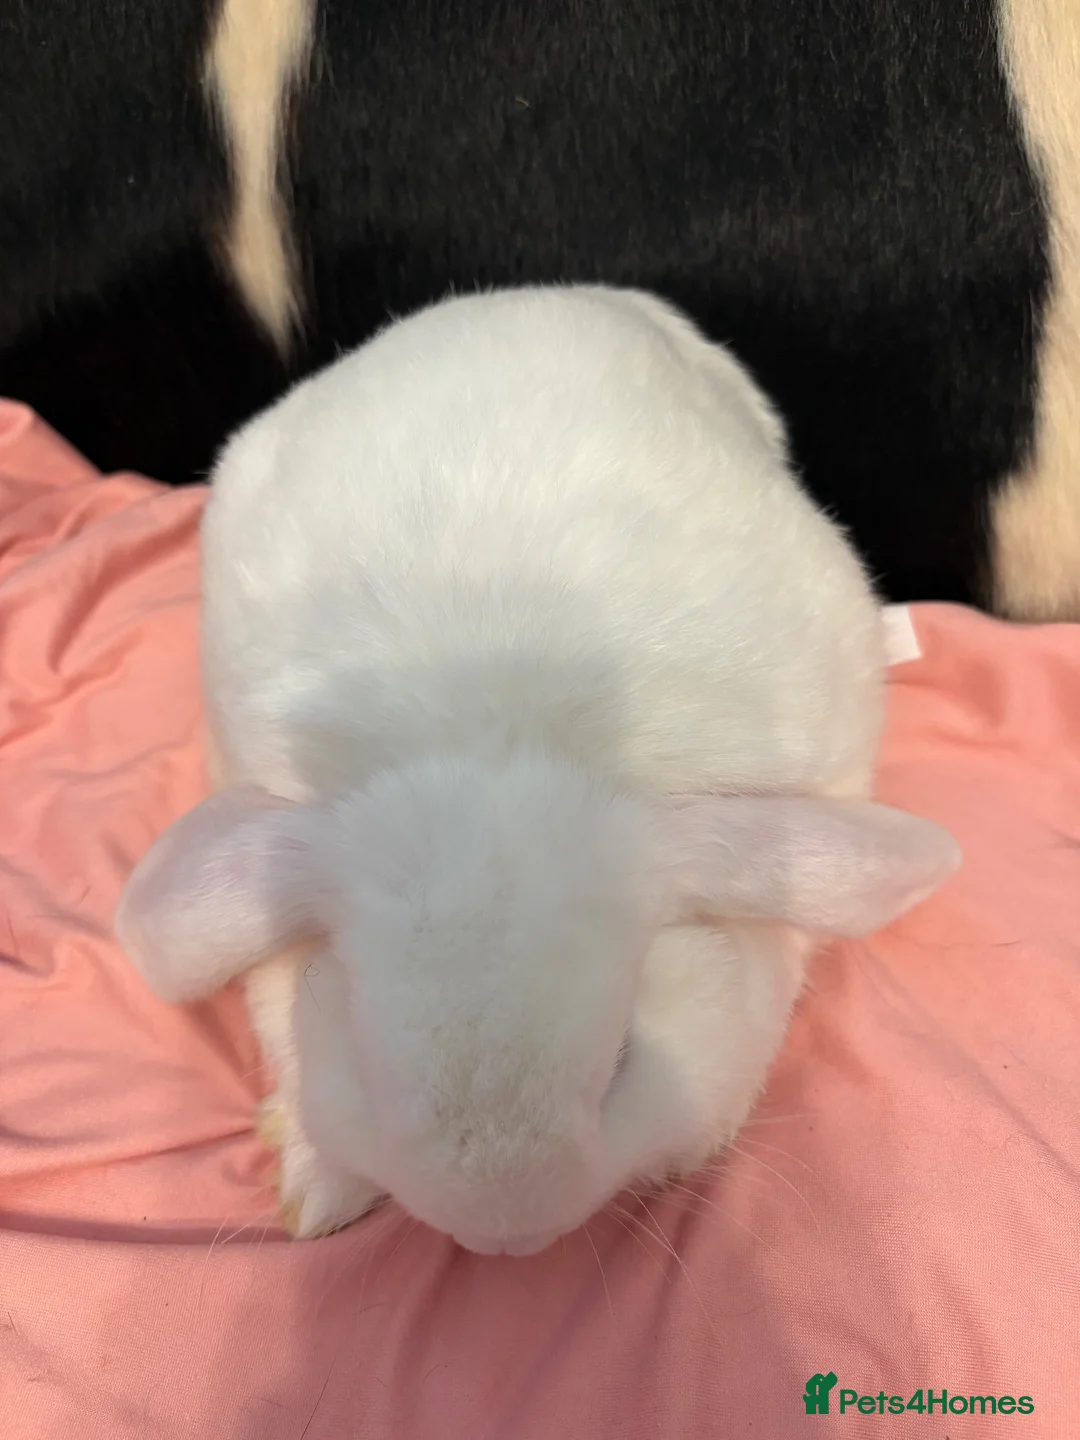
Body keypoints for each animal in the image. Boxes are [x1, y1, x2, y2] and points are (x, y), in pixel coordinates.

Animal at [115, 285, 960, 1254]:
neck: (501, 742)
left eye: (626, 1057)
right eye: (364, 1060)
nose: (507, 1237)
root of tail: (530, 294)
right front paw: (316, 1186)